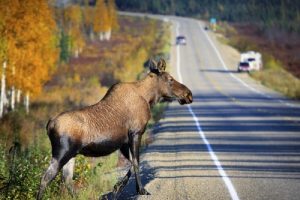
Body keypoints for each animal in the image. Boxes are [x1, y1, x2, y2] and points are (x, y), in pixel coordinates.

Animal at [37, 58, 192, 199]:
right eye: (170, 79)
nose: (188, 94)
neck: (149, 98)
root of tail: (49, 125)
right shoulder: (136, 133)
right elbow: (136, 162)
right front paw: (141, 190)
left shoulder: (123, 142)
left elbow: (132, 162)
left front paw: (118, 187)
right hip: (62, 153)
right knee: (45, 179)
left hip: (71, 154)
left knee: (67, 181)